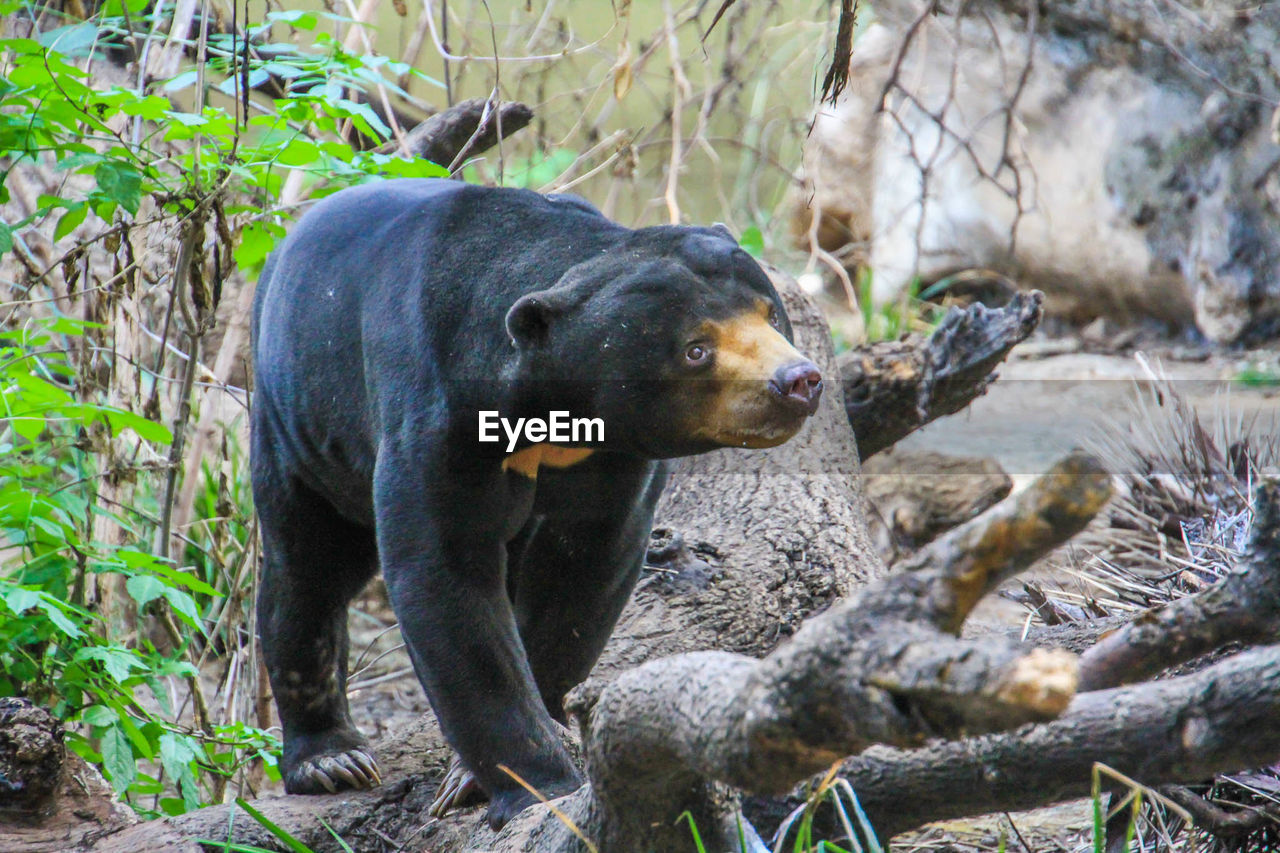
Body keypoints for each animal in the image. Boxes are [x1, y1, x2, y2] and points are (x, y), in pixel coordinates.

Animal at [249, 178, 824, 824]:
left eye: (771, 314)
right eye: (695, 350)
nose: (798, 381)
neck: (553, 410)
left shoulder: (611, 457)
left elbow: (584, 572)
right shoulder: (439, 421)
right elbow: (445, 581)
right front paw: (528, 783)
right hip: (299, 427)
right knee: (307, 572)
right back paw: (331, 760)